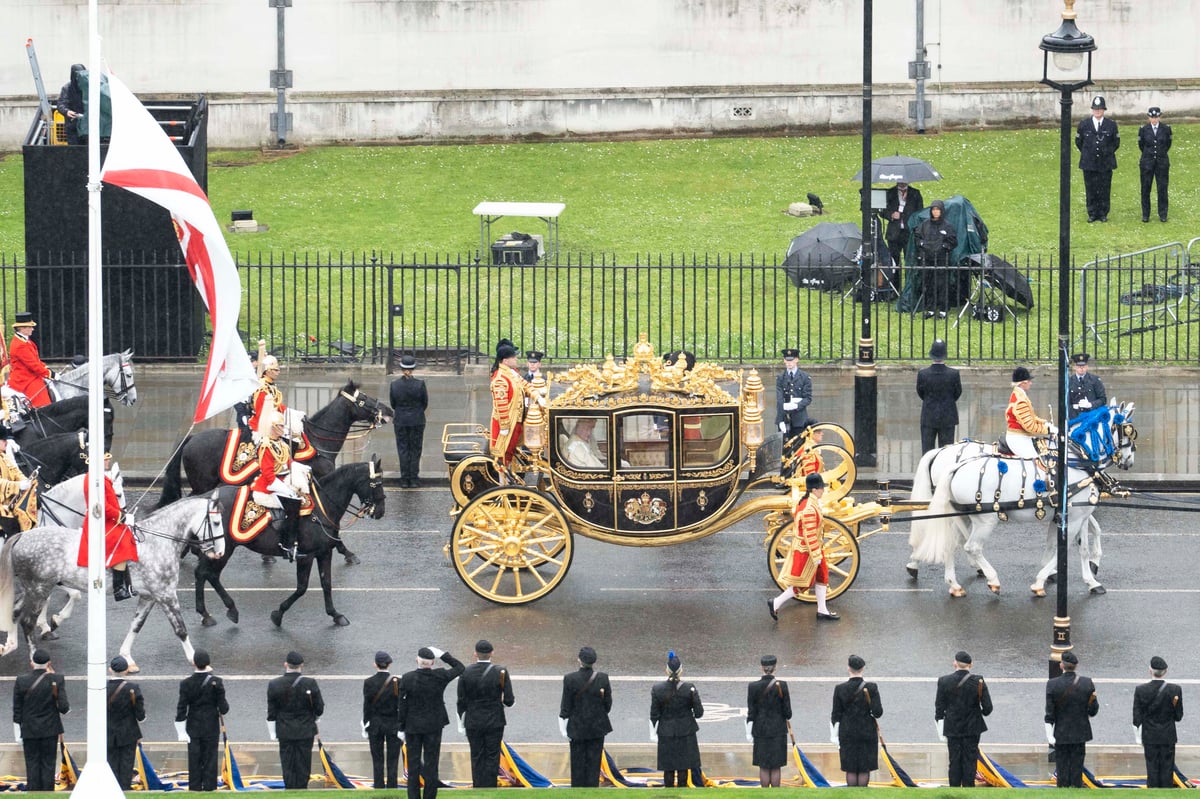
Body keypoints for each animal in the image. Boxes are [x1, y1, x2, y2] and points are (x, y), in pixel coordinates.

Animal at [0, 491, 225, 667]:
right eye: (216, 522)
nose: (220, 553)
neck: (158, 540)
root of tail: (22, 536)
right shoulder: (166, 595)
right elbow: (180, 628)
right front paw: (195, 659)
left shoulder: (149, 596)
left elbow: (136, 624)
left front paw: (126, 657)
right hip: (40, 588)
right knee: (27, 622)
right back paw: (36, 660)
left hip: (31, 588)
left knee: (15, 611)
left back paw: (10, 645)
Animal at [198, 458, 384, 623]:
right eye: (375, 484)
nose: (381, 511)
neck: (322, 508)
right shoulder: (306, 556)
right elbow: (302, 587)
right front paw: (278, 614)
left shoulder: (324, 553)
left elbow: (326, 583)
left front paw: (335, 614)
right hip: (225, 548)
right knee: (210, 574)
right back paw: (227, 610)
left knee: (202, 573)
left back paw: (206, 614)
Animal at [907, 400, 1132, 595]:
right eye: (1128, 432)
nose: (1129, 461)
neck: (1075, 460)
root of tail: (947, 458)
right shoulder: (1076, 514)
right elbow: (1072, 546)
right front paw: (1051, 578)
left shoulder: (1067, 516)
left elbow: (1072, 543)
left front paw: (1077, 574)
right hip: (984, 520)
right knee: (969, 546)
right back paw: (989, 578)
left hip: (959, 515)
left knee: (951, 543)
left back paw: (949, 580)